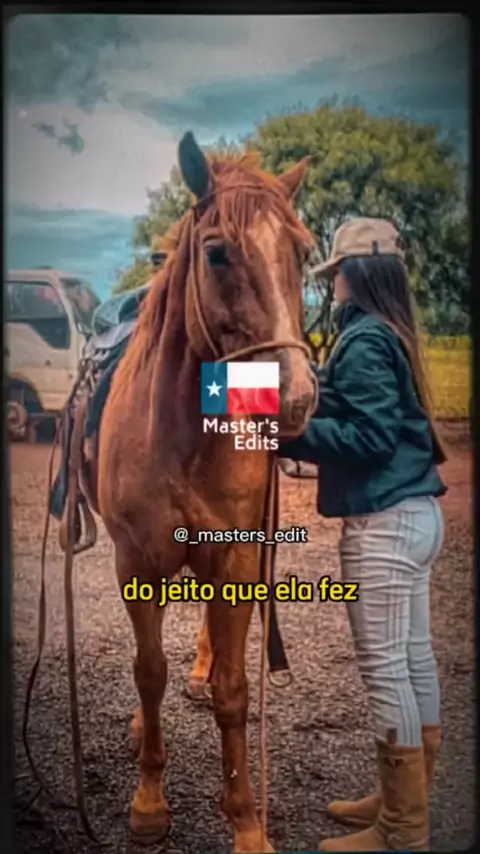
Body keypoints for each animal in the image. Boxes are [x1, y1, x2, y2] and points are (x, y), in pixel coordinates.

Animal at [83, 131, 318, 853]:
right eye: (217, 252)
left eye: (303, 251)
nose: (295, 397)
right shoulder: (137, 562)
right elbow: (147, 670)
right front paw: (149, 802)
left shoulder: (236, 556)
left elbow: (235, 690)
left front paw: (246, 821)